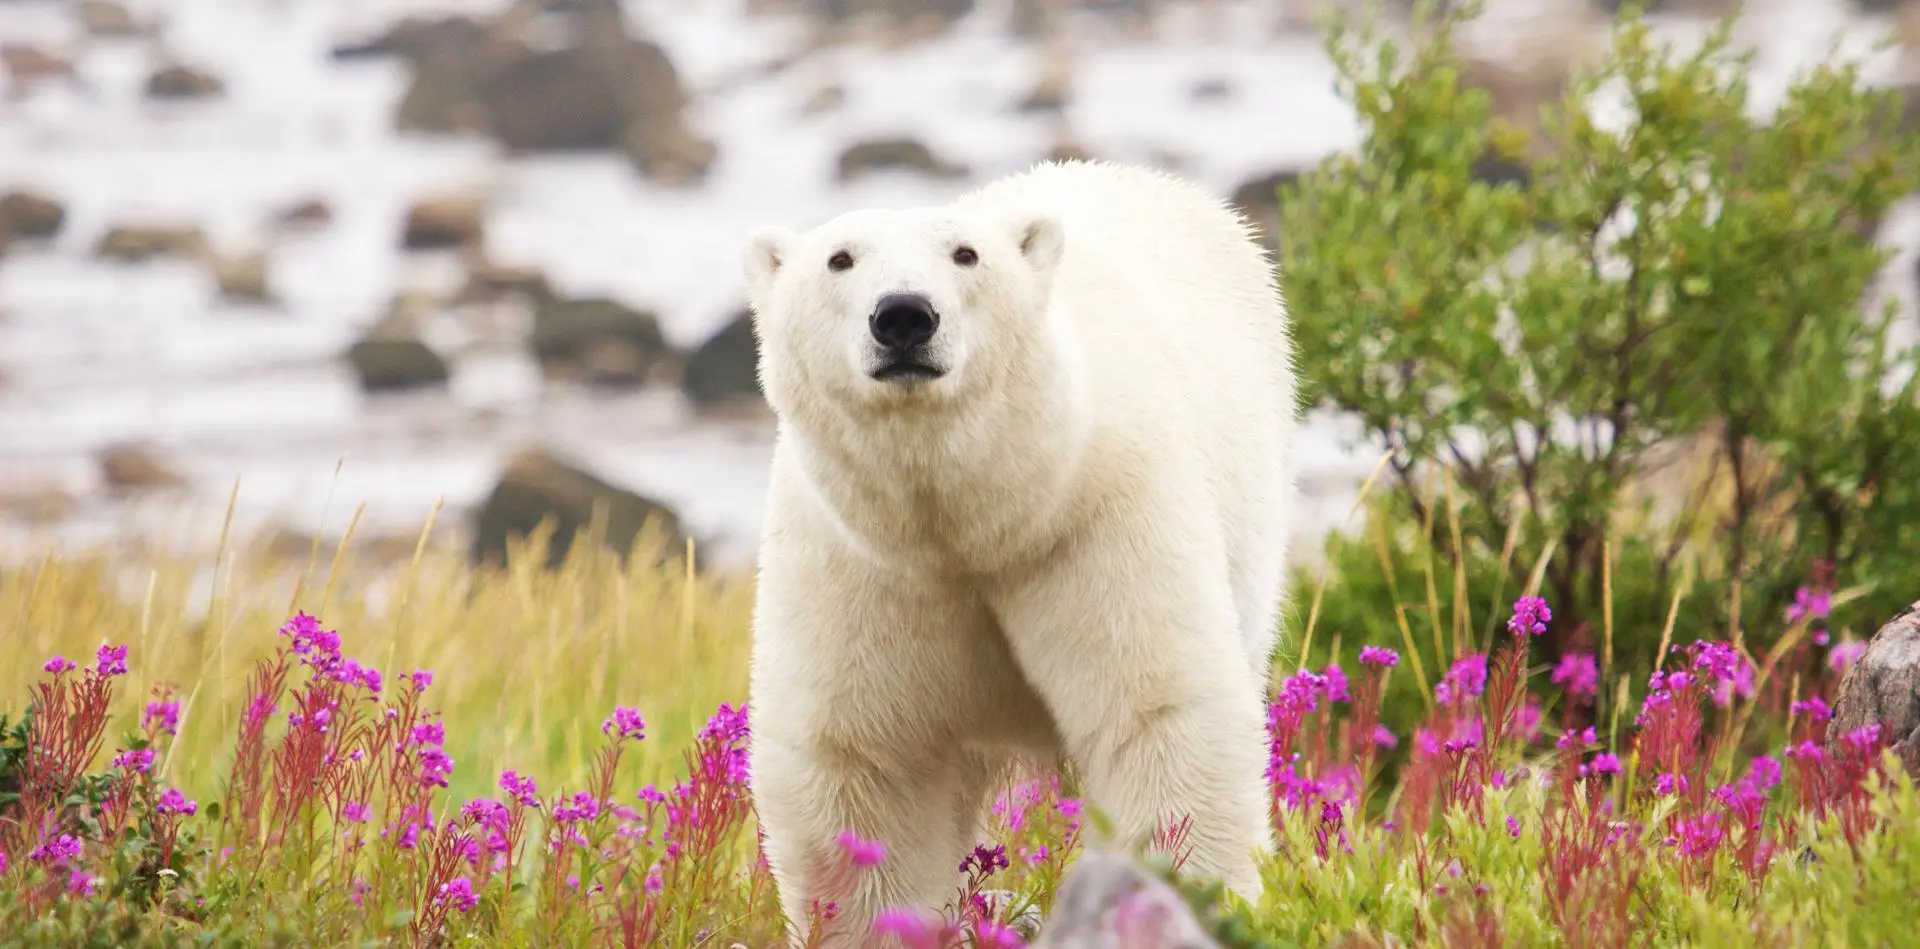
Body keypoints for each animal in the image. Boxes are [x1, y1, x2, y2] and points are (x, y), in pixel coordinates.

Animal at [739, 159, 1300, 946]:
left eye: (965, 254)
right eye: (839, 258)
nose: (904, 315)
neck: (978, 523)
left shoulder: (1098, 523)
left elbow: (1157, 712)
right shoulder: (861, 565)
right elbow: (865, 762)